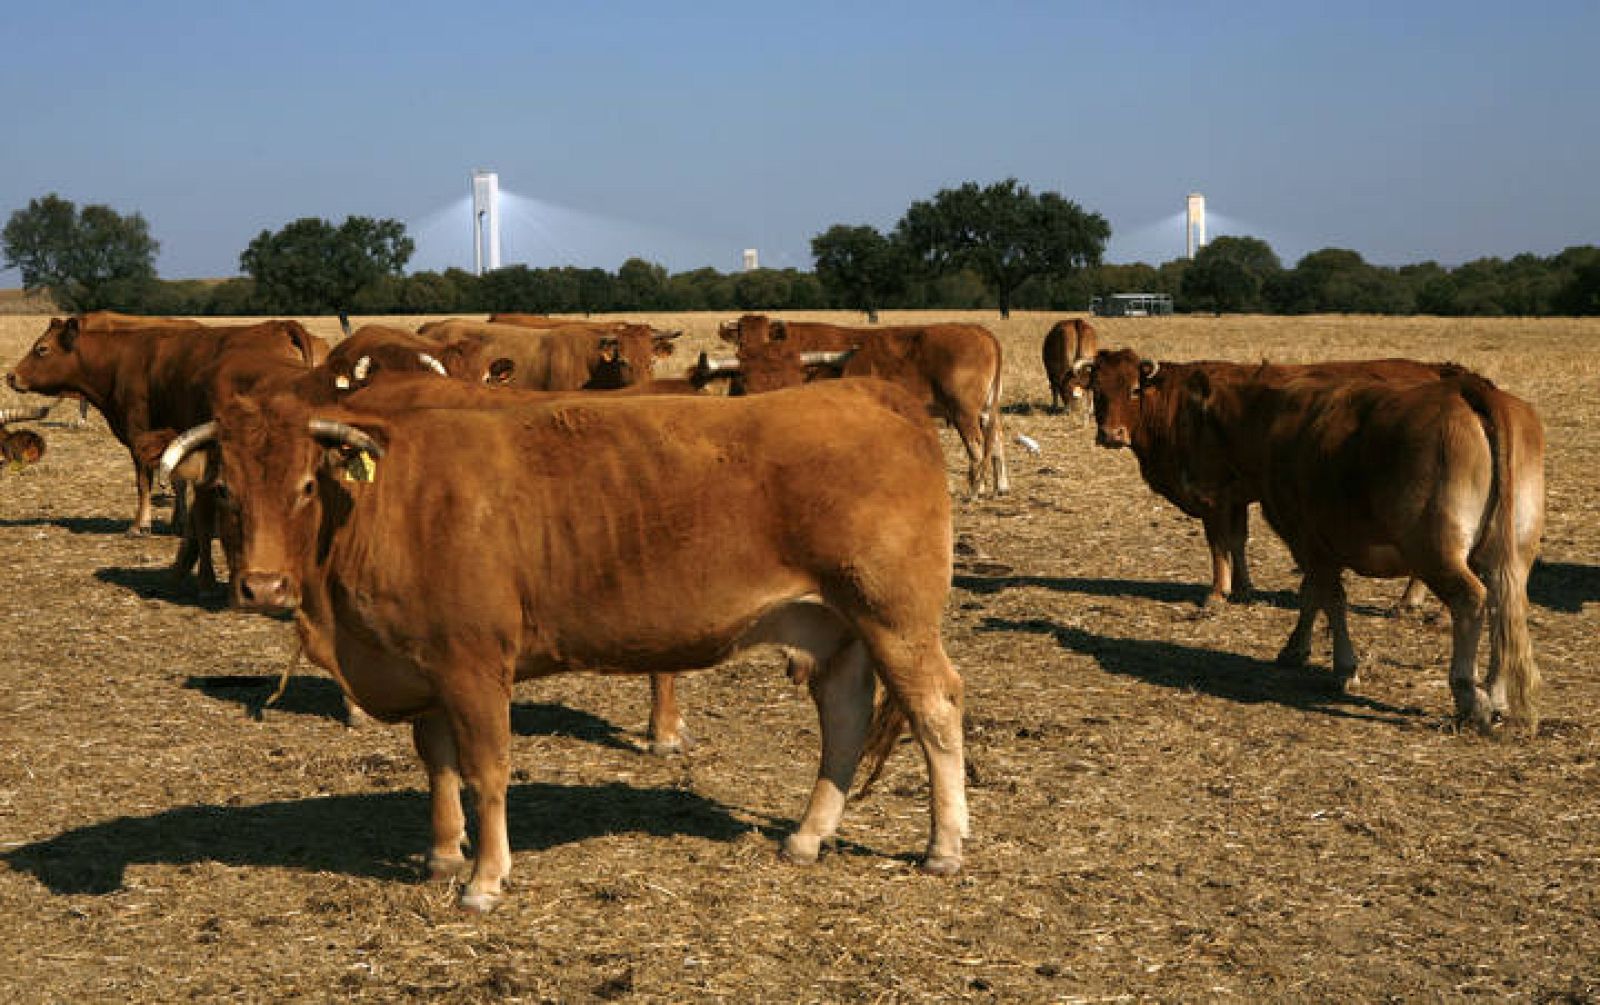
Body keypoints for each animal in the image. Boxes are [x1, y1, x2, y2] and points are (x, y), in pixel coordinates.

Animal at [5, 317, 327, 534]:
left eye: (42, 349)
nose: (11, 376)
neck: (119, 360)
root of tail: (278, 325)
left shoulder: (139, 434)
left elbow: (143, 481)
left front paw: (140, 524)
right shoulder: (175, 434)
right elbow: (177, 478)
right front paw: (179, 522)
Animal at [157, 377, 969, 911]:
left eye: (303, 484)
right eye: (225, 489)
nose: (263, 587)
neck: (390, 503)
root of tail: (868, 391)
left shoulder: (474, 664)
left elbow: (486, 769)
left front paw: (485, 878)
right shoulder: (424, 665)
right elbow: (438, 764)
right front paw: (443, 854)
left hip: (894, 617)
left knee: (936, 710)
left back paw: (944, 846)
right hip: (837, 628)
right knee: (845, 720)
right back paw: (806, 836)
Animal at [719, 315, 1009, 497]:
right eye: (740, 342)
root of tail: (977, 330)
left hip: (964, 411)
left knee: (977, 445)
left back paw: (976, 489)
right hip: (985, 409)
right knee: (996, 439)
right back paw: (999, 486)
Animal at [1078, 349, 1452, 610]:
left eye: (1134, 390)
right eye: (1097, 390)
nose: (1111, 434)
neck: (1181, 408)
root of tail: (1434, 371)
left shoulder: (1211, 494)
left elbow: (1218, 544)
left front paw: (1218, 592)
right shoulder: (1236, 497)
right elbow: (1237, 542)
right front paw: (1244, 588)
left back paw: (1409, 599)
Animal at [1170, 365, 1544, 732]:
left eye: (1188, 424)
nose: (1191, 485)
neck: (1272, 421)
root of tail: (1466, 390)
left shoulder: (1309, 542)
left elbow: (1326, 597)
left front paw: (1340, 667)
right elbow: (1315, 595)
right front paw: (1297, 649)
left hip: (1434, 551)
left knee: (1471, 600)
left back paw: (1471, 699)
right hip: (1513, 550)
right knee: (1504, 603)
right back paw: (1497, 694)